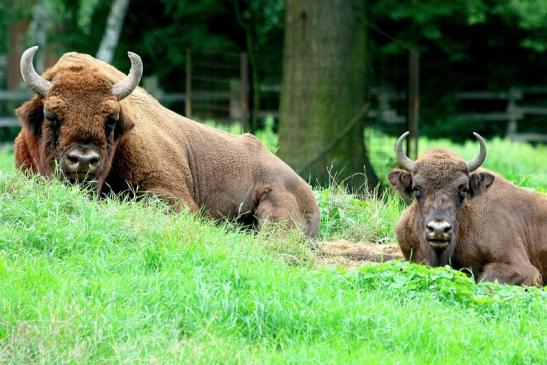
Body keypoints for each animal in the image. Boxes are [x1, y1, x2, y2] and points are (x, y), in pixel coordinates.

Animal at [12, 47, 322, 236]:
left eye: (111, 119)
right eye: (51, 115)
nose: (84, 160)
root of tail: (307, 191)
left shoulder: (174, 195)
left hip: (275, 202)